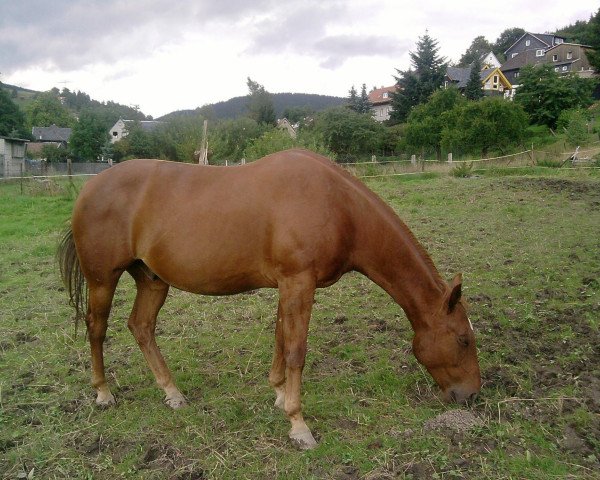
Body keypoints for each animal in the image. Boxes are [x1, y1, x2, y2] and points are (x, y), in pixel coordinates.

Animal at [58, 149, 480, 450]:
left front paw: (278, 395)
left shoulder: (289, 286)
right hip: (102, 279)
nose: (472, 395)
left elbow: (280, 340)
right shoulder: (298, 282)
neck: (337, 204)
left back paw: (172, 393)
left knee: (141, 327)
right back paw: (103, 393)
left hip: (152, 280)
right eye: (464, 339)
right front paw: (299, 425)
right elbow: (295, 350)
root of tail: (89, 189)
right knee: (98, 329)